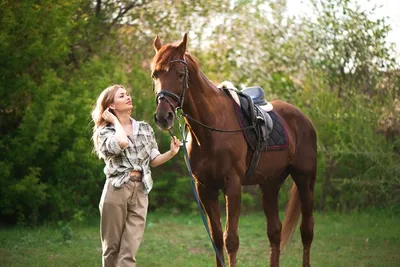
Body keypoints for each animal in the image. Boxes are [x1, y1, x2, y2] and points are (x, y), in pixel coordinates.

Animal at [152, 34, 318, 267]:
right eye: (155, 74)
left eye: (180, 74)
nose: (163, 116)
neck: (212, 129)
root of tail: (303, 118)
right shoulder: (205, 188)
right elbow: (216, 239)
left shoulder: (232, 185)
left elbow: (230, 240)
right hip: (270, 184)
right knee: (275, 232)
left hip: (305, 180)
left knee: (307, 230)